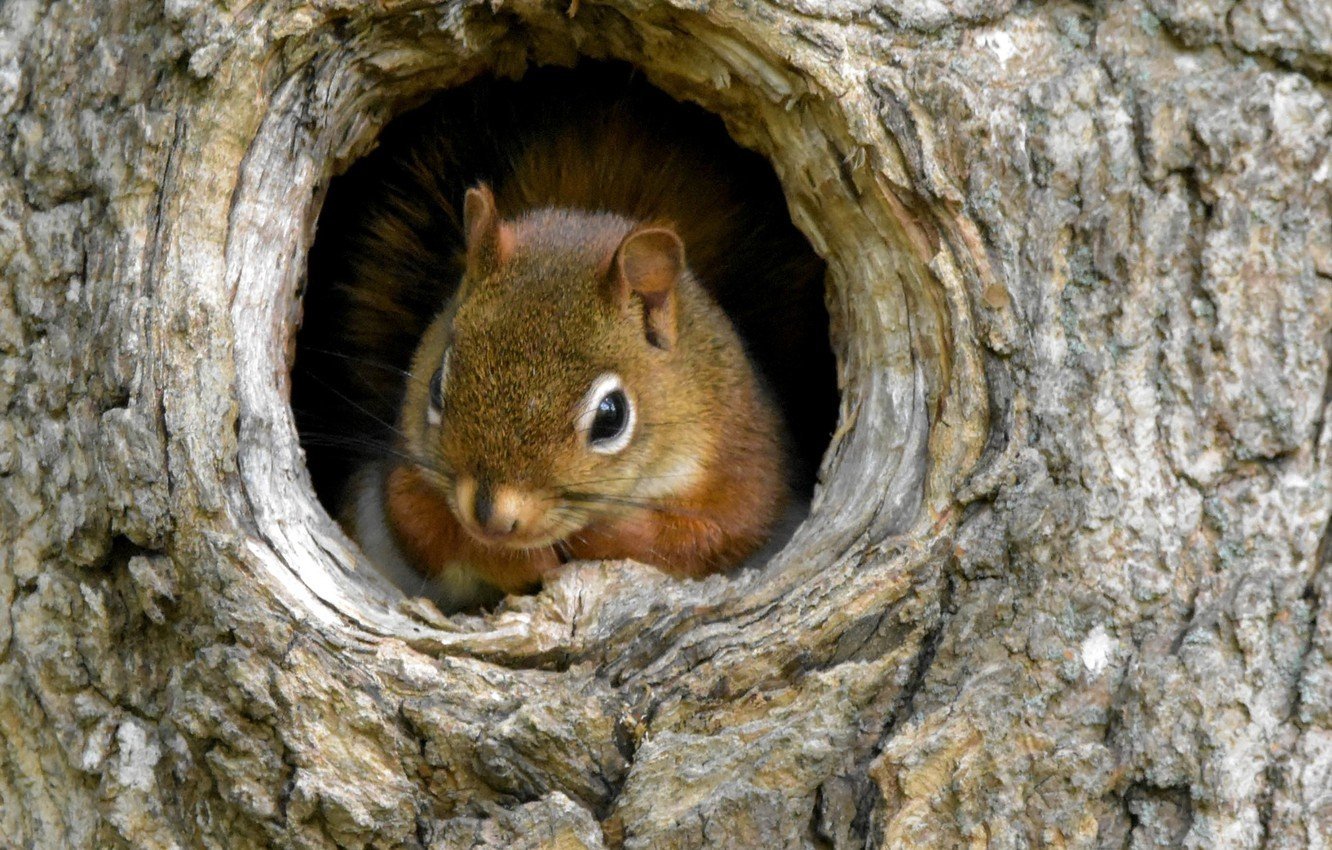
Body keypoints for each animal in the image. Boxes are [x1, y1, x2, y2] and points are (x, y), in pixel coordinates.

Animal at [297, 68, 836, 612]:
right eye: (435, 385)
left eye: (612, 416)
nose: (492, 517)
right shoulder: (406, 470)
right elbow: (418, 523)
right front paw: (513, 556)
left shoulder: (745, 464)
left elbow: (714, 536)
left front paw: (601, 537)